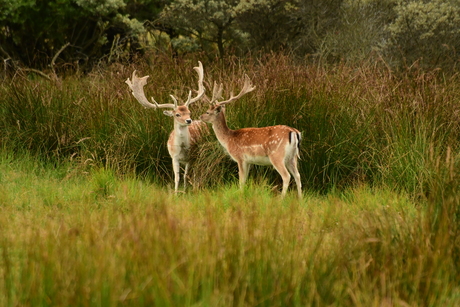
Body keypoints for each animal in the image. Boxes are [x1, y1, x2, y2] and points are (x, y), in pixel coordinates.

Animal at [124, 61, 207, 194]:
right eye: (177, 114)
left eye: (189, 112)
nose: (189, 120)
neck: (182, 149)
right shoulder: (174, 157)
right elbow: (177, 177)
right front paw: (176, 193)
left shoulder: (191, 157)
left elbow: (186, 175)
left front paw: (184, 191)